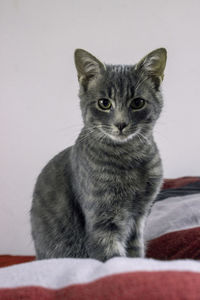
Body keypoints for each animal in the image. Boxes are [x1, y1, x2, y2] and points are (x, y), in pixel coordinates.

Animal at [30, 47, 166, 260]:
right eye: (104, 103)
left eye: (137, 103)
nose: (121, 124)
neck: (128, 156)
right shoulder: (102, 220)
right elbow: (112, 257)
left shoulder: (139, 216)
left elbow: (135, 253)